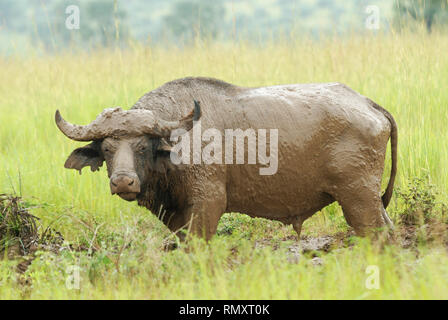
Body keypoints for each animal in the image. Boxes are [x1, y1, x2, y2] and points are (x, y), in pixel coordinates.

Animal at [55, 77, 396, 240]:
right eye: (107, 148)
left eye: (142, 147)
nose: (123, 181)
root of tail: (367, 103)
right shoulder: (176, 215)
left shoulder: (208, 204)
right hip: (369, 199)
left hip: (358, 198)